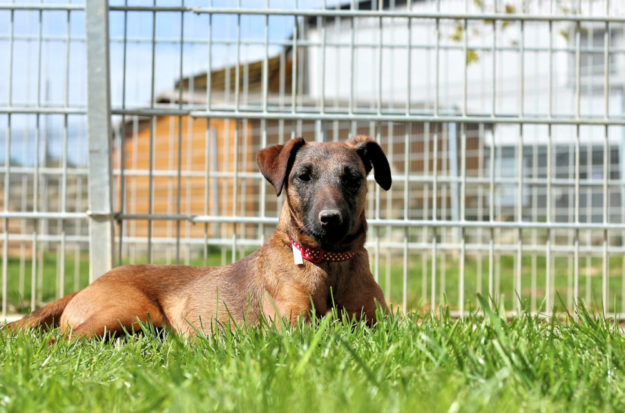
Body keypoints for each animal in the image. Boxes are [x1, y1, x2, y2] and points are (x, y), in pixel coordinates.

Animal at [4, 137, 392, 336]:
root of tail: (90, 284)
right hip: (131, 310)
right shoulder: (293, 328)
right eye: (303, 176)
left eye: (352, 178)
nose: (331, 220)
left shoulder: (379, 325)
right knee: (60, 340)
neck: (330, 263)